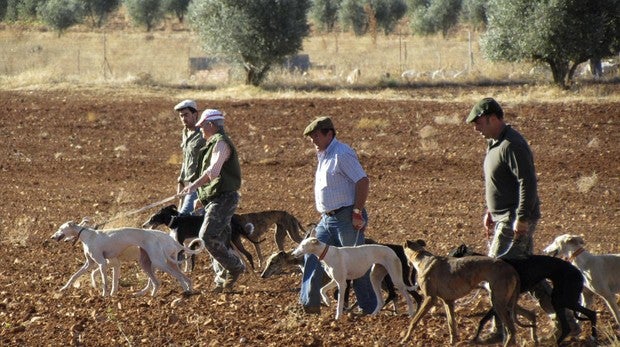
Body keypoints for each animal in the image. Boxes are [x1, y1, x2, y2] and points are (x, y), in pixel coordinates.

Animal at [450, 245, 596, 346]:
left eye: (452, 254)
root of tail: (577, 272)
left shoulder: (498, 300)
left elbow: (483, 320)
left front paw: (474, 338)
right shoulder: (501, 301)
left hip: (562, 299)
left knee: (581, 318)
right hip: (562, 299)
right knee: (581, 319)